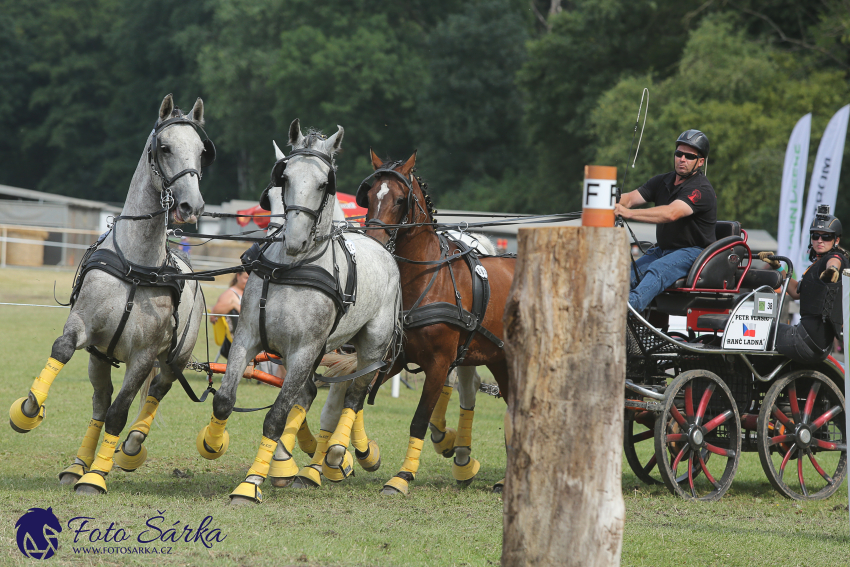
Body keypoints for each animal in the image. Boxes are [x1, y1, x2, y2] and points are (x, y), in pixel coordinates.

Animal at [9, 95, 211, 494]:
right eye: (165, 148)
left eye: (200, 151)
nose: (191, 207)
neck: (136, 264)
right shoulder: (84, 326)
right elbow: (62, 350)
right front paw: (29, 410)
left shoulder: (143, 356)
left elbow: (121, 410)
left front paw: (97, 476)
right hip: (99, 359)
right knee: (99, 404)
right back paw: (77, 465)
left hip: (176, 358)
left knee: (155, 392)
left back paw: (129, 446)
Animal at [195, 121, 400, 506]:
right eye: (283, 179)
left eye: (324, 184)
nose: (292, 238)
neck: (291, 269)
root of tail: (383, 249)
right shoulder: (248, 337)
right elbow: (225, 401)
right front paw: (213, 443)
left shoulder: (304, 350)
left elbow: (276, 417)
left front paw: (250, 484)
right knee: (313, 395)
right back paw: (302, 460)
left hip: (371, 346)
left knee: (354, 397)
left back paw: (344, 453)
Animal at [356, 151, 512, 496]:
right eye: (369, 197)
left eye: (400, 200)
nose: (375, 241)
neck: (428, 279)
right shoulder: (397, 358)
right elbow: (357, 397)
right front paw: (365, 453)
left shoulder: (439, 363)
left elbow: (419, 418)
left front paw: (402, 476)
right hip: (500, 360)